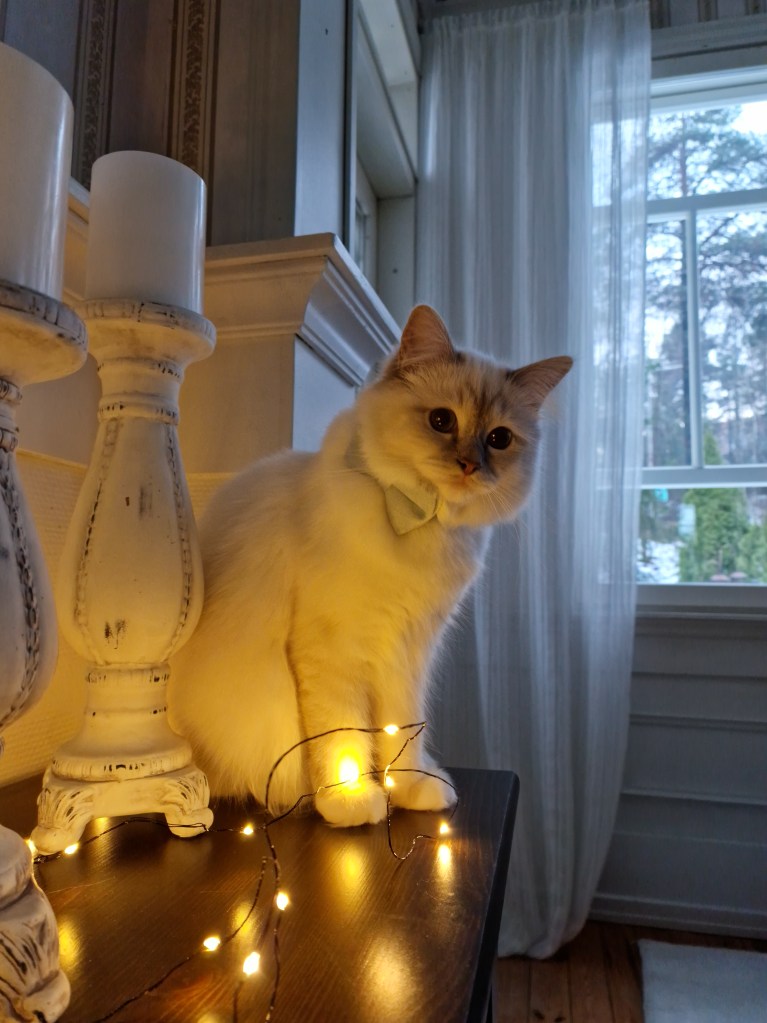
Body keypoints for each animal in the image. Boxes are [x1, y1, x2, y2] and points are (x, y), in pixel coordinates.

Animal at [169, 305, 571, 827]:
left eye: (499, 439)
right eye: (441, 420)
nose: (469, 466)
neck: (422, 520)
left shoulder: (409, 652)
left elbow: (401, 730)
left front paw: (411, 788)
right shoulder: (334, 650)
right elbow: (342, 738)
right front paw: (352, 798)